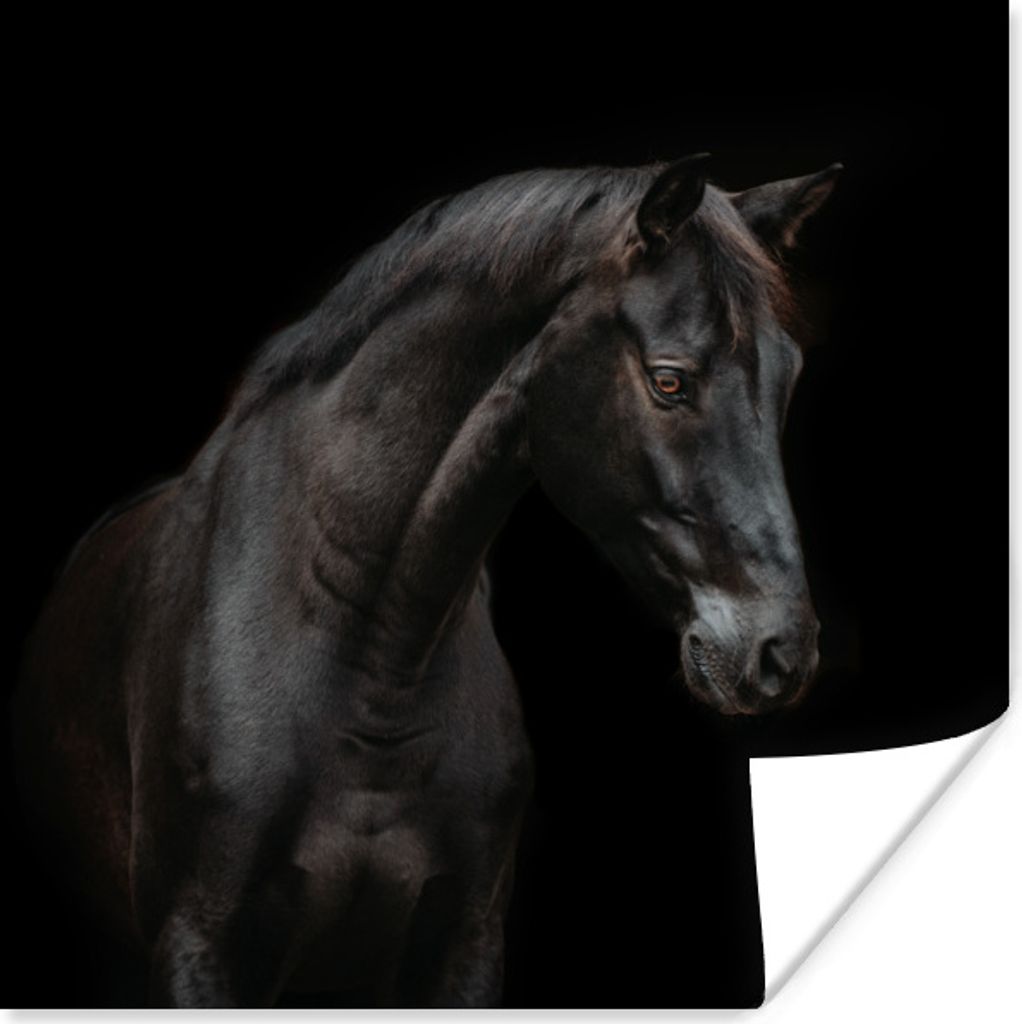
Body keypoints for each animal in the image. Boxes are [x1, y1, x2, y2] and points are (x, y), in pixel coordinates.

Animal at [12, 152, 840, 1007]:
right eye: (670, 380)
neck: (371, 661)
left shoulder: (464, 943)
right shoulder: (196, 945)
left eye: (787, 378)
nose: (781, 652)